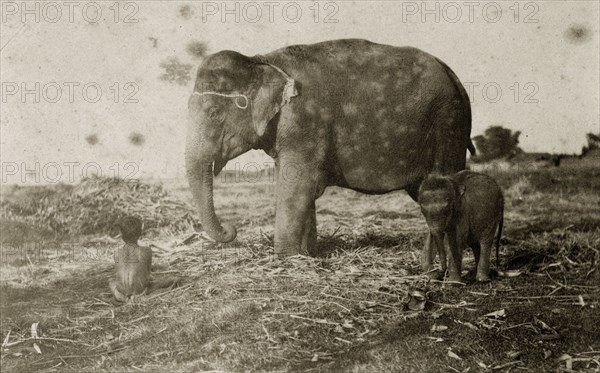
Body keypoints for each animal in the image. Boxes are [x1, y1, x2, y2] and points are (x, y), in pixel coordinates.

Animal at [188, 39, 474, 258]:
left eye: (214, 113)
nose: (232, 229)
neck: (261, 60)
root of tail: (453, 75)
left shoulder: (305, 120)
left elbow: (296, 185)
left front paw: (286, 257)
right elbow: (298, 184)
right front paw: (307, 254)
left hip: (448, 124)